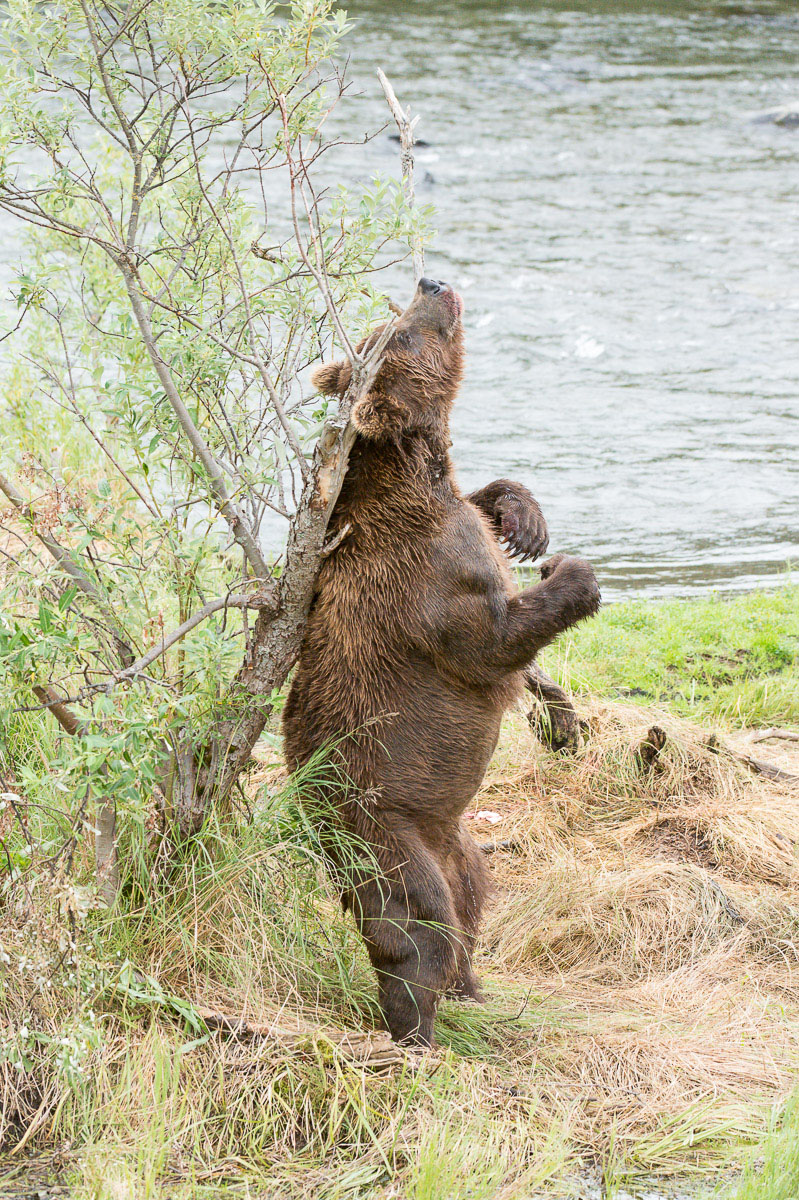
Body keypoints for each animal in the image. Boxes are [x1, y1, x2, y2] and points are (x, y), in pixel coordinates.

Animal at [279, 276, 597, 1046]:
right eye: (402, 332)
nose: (431, 285)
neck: (412, 470)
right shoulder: (423, 581)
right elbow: (490, 640)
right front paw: (572, 573)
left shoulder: (447, 512)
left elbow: (483, 501)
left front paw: (524, 520)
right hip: (376, 821)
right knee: (413, 922)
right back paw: (415, 1031)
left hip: (453, 838)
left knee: (473, 895)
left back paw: (471, 989)